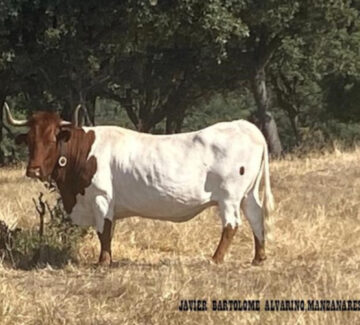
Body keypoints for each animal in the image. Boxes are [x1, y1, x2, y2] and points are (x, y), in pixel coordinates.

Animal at [4, 102, 274, 264]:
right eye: (30, 139)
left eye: (52, 139)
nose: (33, 170)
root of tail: (246, 127)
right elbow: (107, 232)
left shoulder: (101, 197)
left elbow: (104, 231)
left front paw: (103, 262)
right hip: (248, 194)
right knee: (256, 216)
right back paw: (258, 257)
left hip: (229, 195)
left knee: (232, 224)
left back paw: (216, 258)